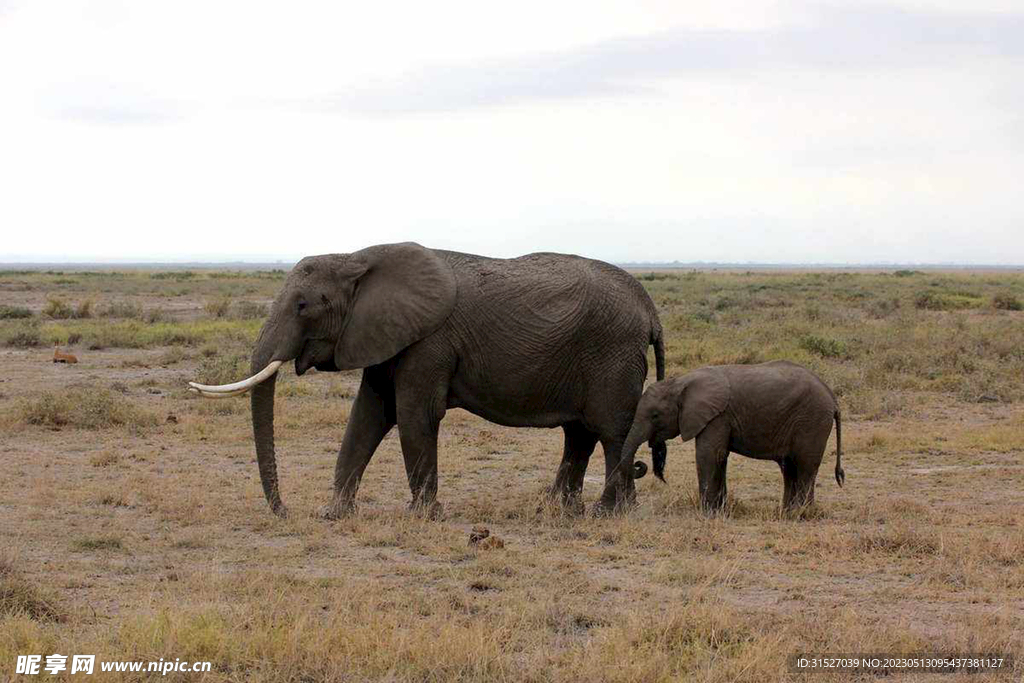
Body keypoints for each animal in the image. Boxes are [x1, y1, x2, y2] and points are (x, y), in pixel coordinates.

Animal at [190, 244, 663, 518]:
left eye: (303, 306)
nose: (284, 511)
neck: (357, 257)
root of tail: (651, 310)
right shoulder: (384, 333)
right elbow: (368, 415)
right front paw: (334, 514)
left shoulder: (429, 341)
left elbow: (413, 414)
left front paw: (422, 516)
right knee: (579, 433)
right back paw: (559, 510)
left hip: (611, 354)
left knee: (610, 432)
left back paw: (610, 514)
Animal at [626, 360, 843, 509]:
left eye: (655, 415)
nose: (639, 464)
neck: (679, 383)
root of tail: (832, 397)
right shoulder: (719, 418)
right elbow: (720, 457)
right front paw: (720, 509)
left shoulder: (717, 416)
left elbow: (708, 455)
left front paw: (706, 512)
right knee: (789, 467)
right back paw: (788, 512)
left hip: (812, 420)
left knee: (805, 465)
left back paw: (802, 513)